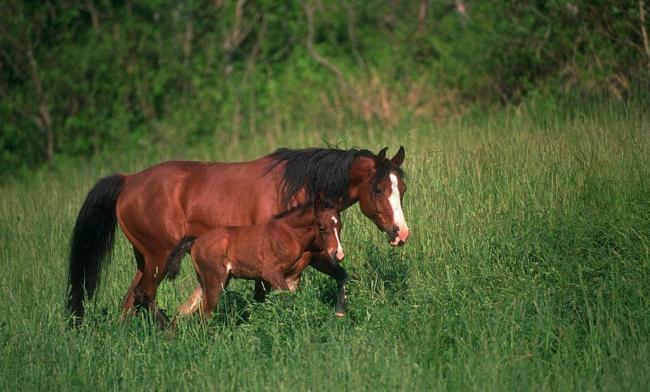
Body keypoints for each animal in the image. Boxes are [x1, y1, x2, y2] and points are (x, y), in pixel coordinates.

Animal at [67, 146, 410, 324]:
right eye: (379, 189)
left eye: (402, 189)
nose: (401, 233)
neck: (297, 186)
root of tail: (128, 181)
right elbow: (267, 294)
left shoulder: (312, 255)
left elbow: (339, 275)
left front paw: (338, 312)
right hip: (158, 257)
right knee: (145, 295)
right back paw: (169, 328)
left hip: (146, 260)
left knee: (131, 299)